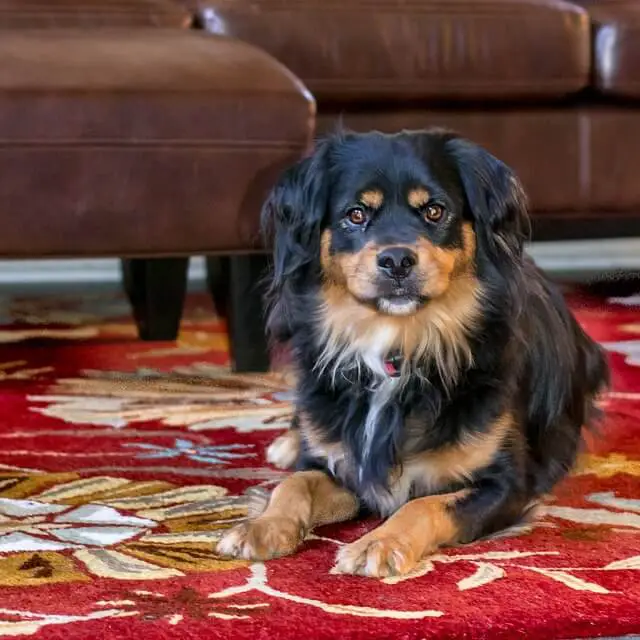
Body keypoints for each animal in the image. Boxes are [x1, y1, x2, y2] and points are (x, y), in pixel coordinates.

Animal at [216, 127, 608, 576]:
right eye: (356, 215)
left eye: (435, 212)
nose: (397, 260)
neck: (400, 342)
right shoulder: (348, 467)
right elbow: (295, 483)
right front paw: (261, 526)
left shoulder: (506, 485)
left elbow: (425, 504)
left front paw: (378, 542)